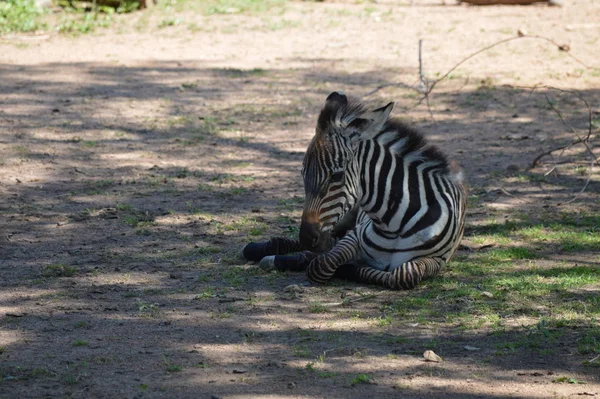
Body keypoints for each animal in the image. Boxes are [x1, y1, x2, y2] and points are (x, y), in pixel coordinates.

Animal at [241, 92, 466, 290]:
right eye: (303, 174)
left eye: (337, 176)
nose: (307, 238)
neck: (393, 225)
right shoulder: (353, 236)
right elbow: (322, 264)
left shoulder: (436, 259)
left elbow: (403, 275)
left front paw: (346, 268)